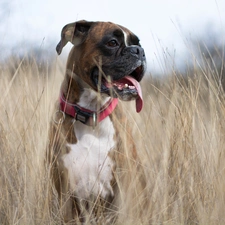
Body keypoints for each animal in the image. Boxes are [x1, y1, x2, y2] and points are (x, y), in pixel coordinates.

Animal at [48, 19, 146, 223]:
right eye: (112, 43)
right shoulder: (65, 193)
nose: (139, 51)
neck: (91, 114)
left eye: (138, 43)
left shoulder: (120, 193)